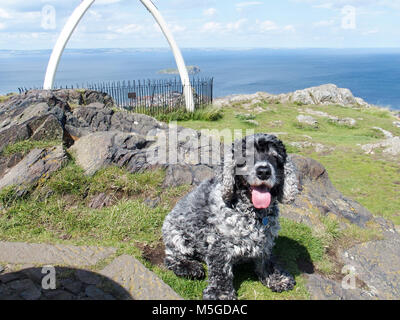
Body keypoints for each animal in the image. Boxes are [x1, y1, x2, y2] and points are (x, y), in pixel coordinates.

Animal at [162, 132, 296, 300]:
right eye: (246, 157)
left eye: (274, 156)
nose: (264, 171)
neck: (253, 213)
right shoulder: (218, 241)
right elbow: (221, 269)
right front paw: (221, 293)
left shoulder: (266, 241)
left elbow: (266, 261)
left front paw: (276, 278)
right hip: (176, 236)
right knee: (171, 256)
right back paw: (189, 267)